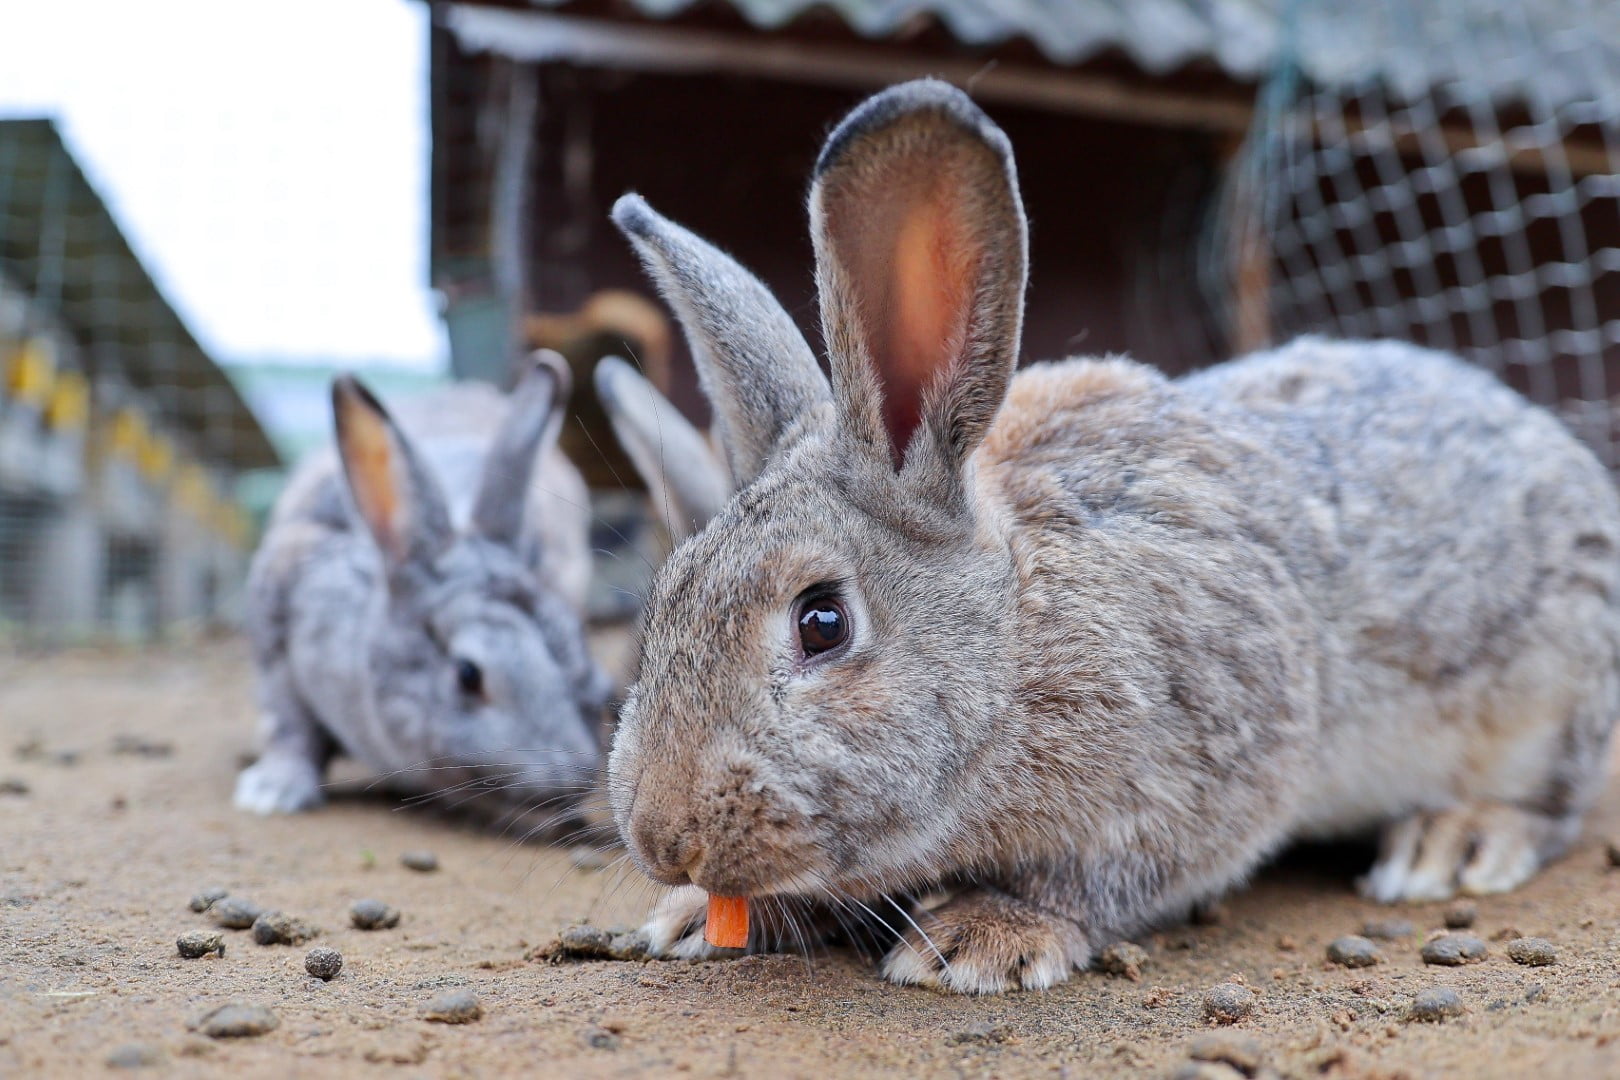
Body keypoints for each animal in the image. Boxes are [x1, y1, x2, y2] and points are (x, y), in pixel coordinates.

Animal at [231, 354, 605, 819]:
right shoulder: (276, 636)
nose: (571, 778)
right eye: (468, 674)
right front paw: (272, 793)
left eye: (578, 648)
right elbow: (290, 725)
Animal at [596, 80, 1620, 990]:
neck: (1016, 635)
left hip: (1548, 697)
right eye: (665, 603)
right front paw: (692, 920)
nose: (661, 837)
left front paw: (977, 937)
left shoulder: (1196, 773)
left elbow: (1100, 880)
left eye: (822, 622)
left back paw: (1455, 842)